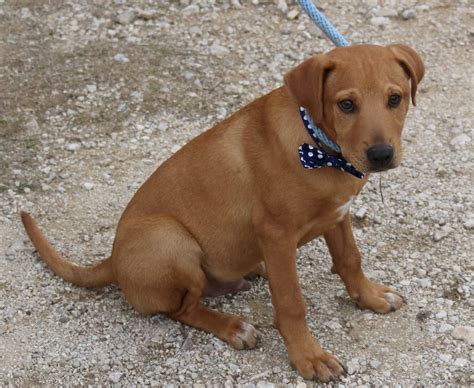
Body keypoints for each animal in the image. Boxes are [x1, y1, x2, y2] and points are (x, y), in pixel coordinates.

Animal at [20, 44, 424, 380]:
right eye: (346, 105)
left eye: (395, 98)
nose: (381, 155)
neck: (319, 148)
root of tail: (113, 261)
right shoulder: (276, 234)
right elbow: (291, 303)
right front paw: (309, 357)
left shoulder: (337, 216)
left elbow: (350, 260)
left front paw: (370, 297)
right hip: (169, 241)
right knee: (181, 310)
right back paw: (233, 328)